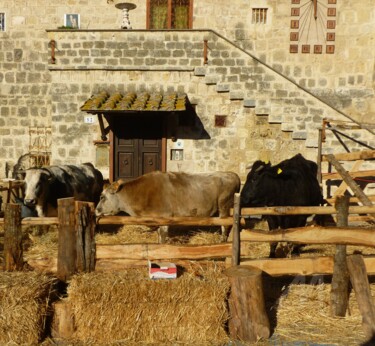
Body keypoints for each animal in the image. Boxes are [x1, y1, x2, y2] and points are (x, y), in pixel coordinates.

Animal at [94, 170, 241, 241]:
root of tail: (232, 174)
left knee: (225, 225)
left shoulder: (164, 218)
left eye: (102, 197)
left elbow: (163, 238)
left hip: (224, 205)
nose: (96, 210)